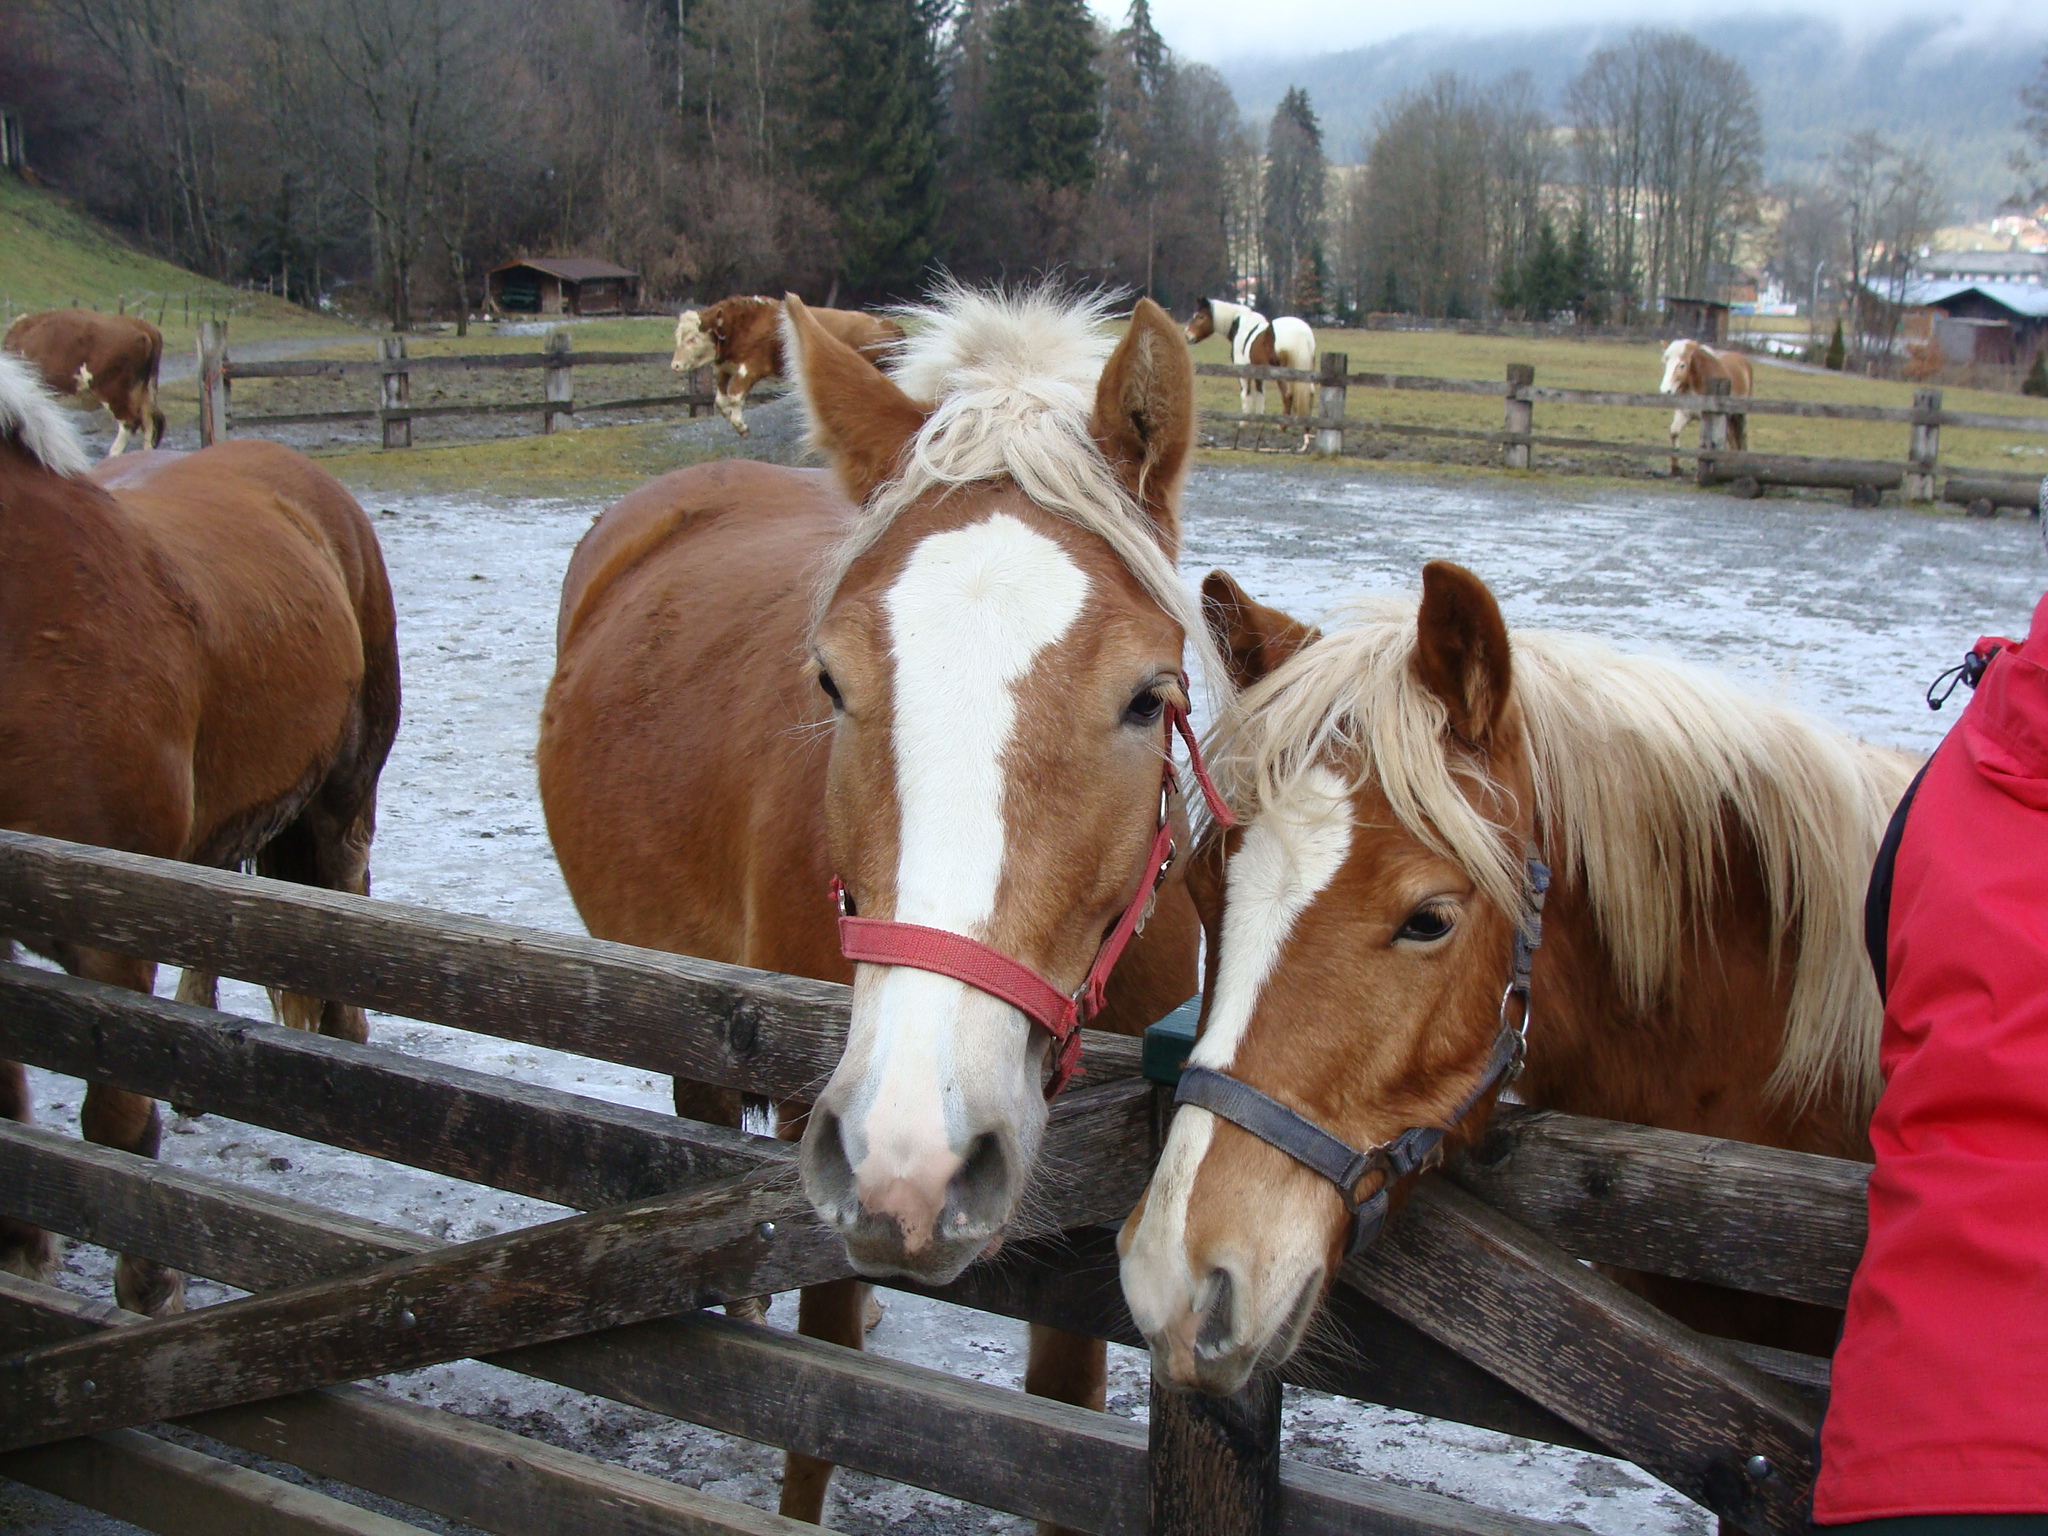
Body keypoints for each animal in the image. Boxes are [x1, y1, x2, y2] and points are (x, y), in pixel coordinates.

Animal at [0, 352, 400, 1318]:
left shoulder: (107, 931)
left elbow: (114, 1123)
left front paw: (150, 1288)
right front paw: (22, 1250)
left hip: (345, 790)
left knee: (346, 886)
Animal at [671, 295, 904, 436]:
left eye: (692, 338)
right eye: (678, 337)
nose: (675, 365)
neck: (743, 323)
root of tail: (885, 323)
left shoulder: (751, 368)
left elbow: (735, 396)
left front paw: (741, 426)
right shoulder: (724, 368)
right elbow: (720, 401)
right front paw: (730, 417)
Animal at [1183, 298, 1318, 450]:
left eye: (1200, 316)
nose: (1187, 335)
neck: (1239, 326)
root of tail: (1302, 334)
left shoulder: (1244, 373)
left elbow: (1246, 395)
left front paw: (1243, 425)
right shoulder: (1259, 375)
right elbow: (1260, 397)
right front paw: (1259, 427)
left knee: (1288, 394)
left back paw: (1283, 426)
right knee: (1309, 394)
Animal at [1659, 337, 1752, 476]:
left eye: (1682, 365)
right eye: (1666, 362)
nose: (1665, 390)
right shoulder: (1684, 413)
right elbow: (1674, 432)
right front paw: (1675, 468)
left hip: (1739, 416)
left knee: (1739, 439)